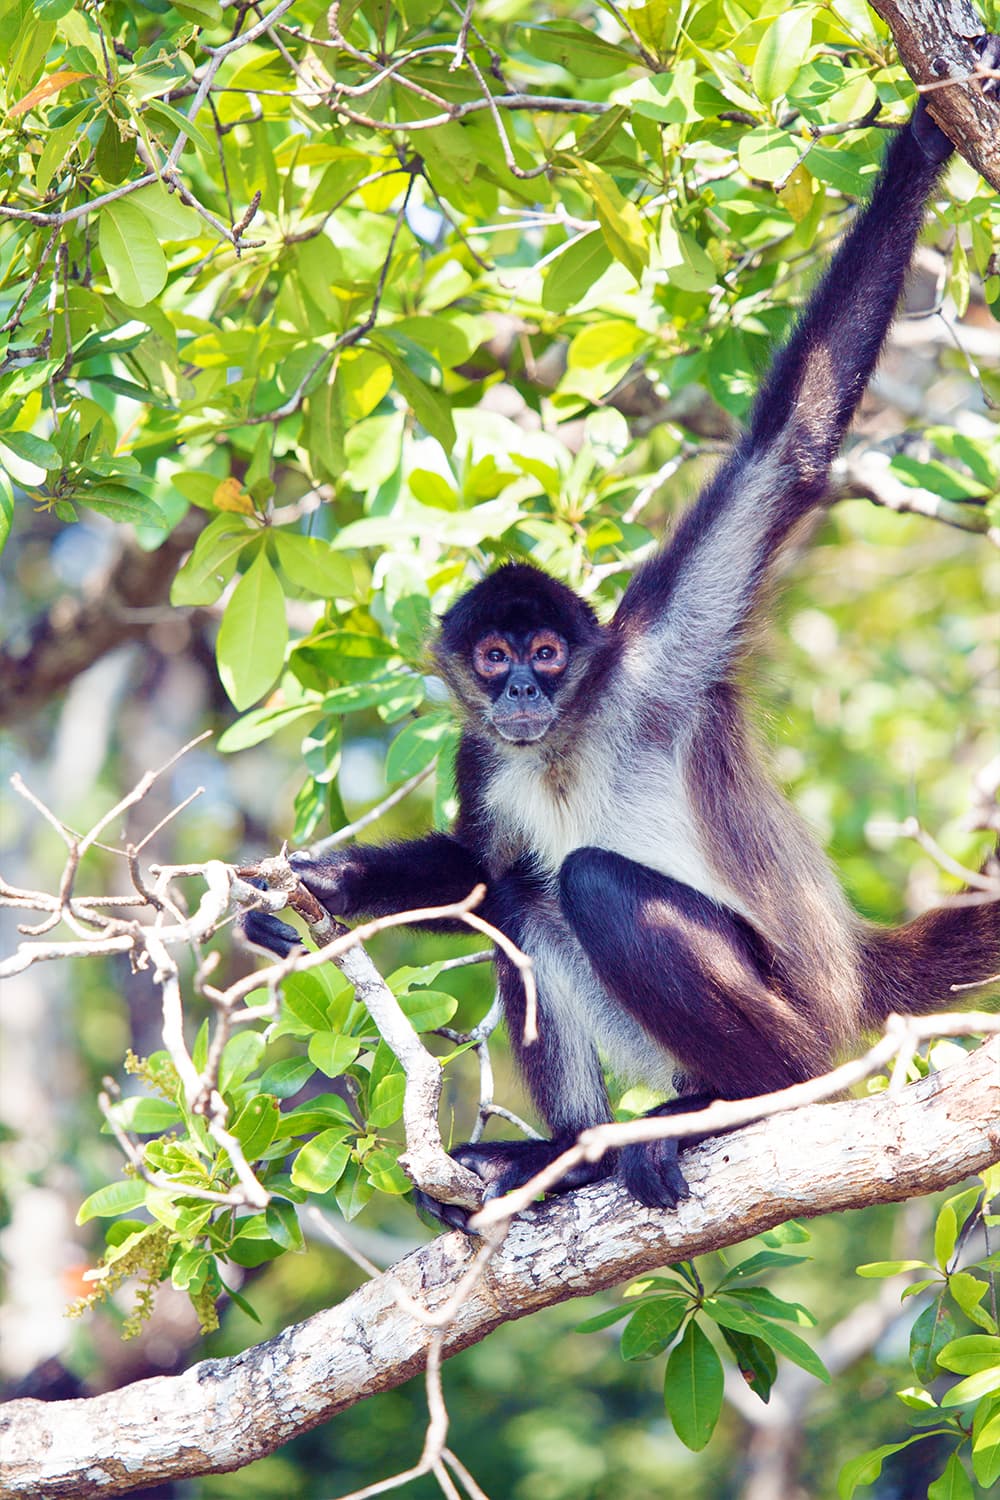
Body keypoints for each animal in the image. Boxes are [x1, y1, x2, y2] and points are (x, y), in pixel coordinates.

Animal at [245, 63, 1000, 1226]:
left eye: (548, 656)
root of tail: (856, 972)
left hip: (800, 1020)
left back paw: (737, 1104)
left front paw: (923, 142)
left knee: (591, 881)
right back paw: (569, 1150)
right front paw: (319, 889)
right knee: (526, 893)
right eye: (494, 659)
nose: (519, 696)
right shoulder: (481, 753)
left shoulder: (659, 655)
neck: (565, 741)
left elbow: (788, 449)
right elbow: (480, 874)